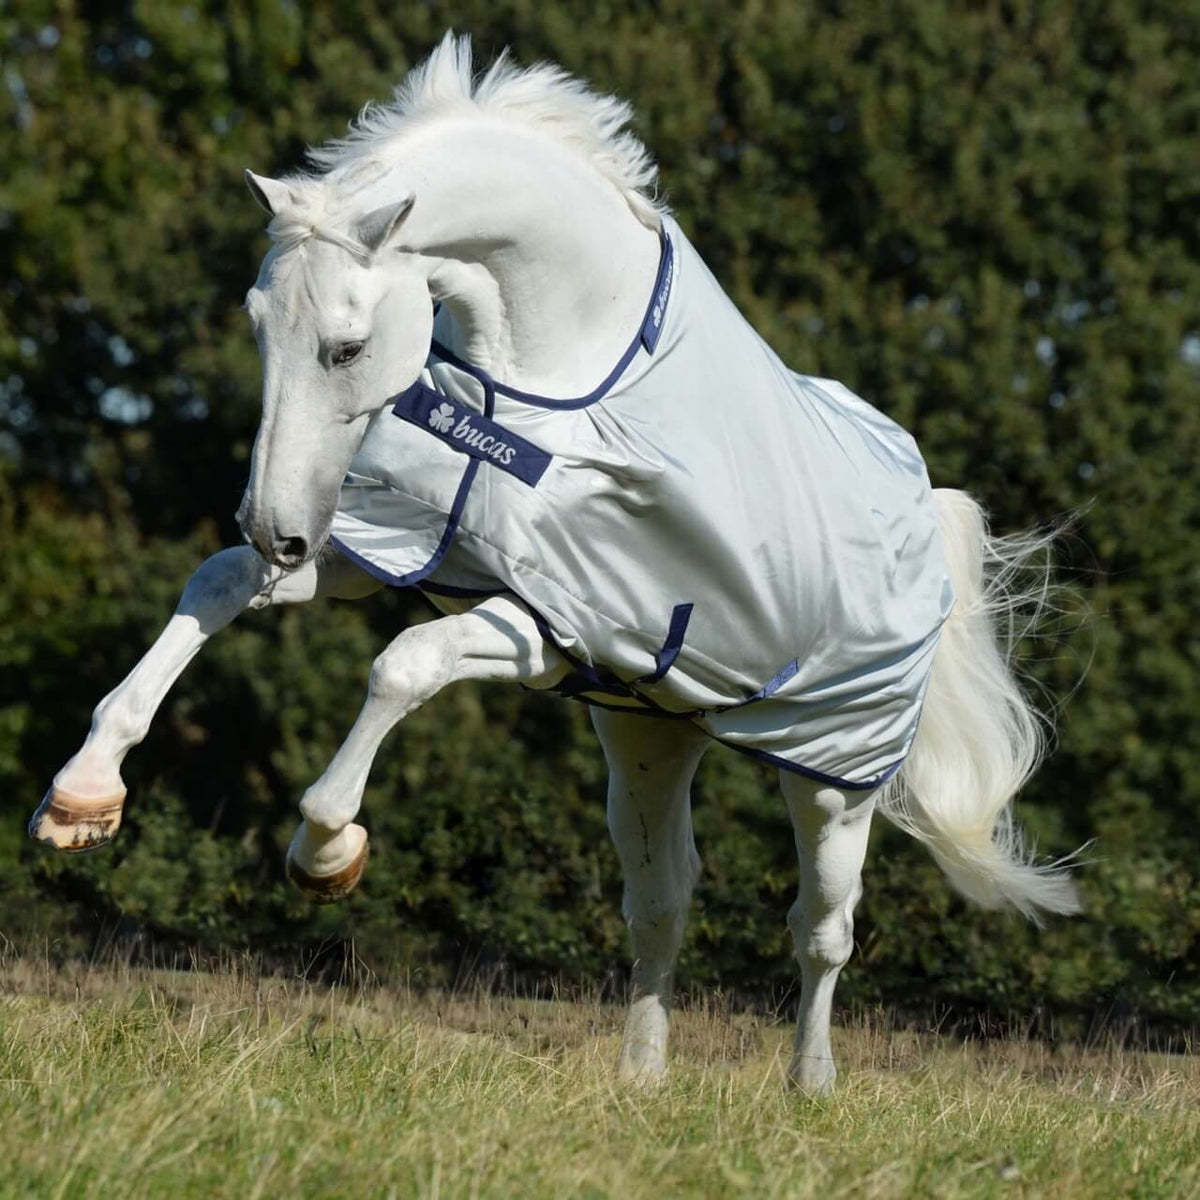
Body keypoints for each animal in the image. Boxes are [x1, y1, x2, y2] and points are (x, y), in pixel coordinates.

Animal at [29, 33, 1080, 1094]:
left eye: (347, 347)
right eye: (255, 326)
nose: (275, 528)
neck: (554, 371)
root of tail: (923, 502)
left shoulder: (553, 622)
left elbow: (403, 665)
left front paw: (326, 850)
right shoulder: (406, 543)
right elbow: (217, 584)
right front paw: (83, 795)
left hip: (833, 776)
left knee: (822, 930)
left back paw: (809, 1085)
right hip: (649, 735)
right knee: (662, 902)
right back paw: (642, 1078)